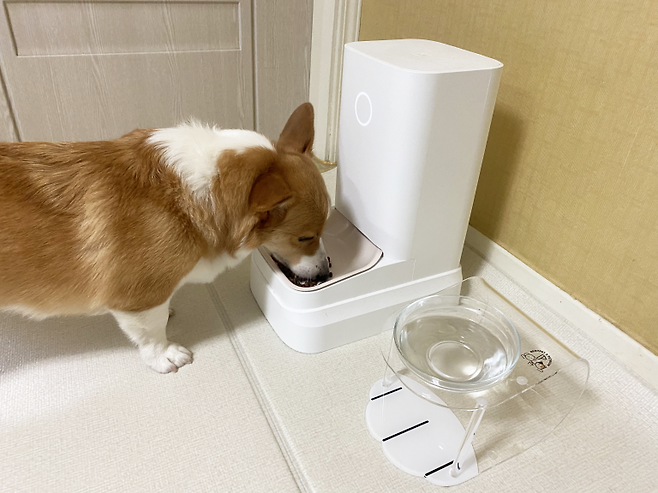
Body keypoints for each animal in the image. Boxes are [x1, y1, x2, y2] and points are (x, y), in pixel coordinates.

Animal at [0, 103, 330, 373]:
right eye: (305, 238)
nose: (326, 274)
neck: (197, 192)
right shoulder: (135, 298)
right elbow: (152, 332)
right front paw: (165, 357)